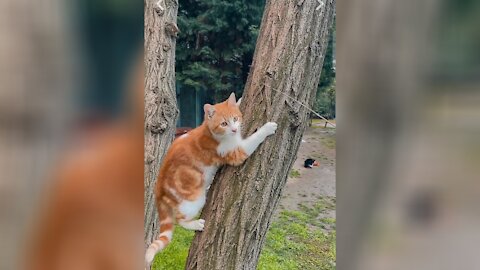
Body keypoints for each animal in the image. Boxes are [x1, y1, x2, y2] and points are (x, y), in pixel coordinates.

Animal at [143, 93, 278, 268]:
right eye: (224, 123)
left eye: (235, 118)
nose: (234, 129)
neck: (209, 130)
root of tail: (158, 189)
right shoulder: (236, 153)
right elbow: (253, 139)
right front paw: (267, 128)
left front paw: (238, 99)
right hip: (195, 199)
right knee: (179, 219)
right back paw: (195, 224)